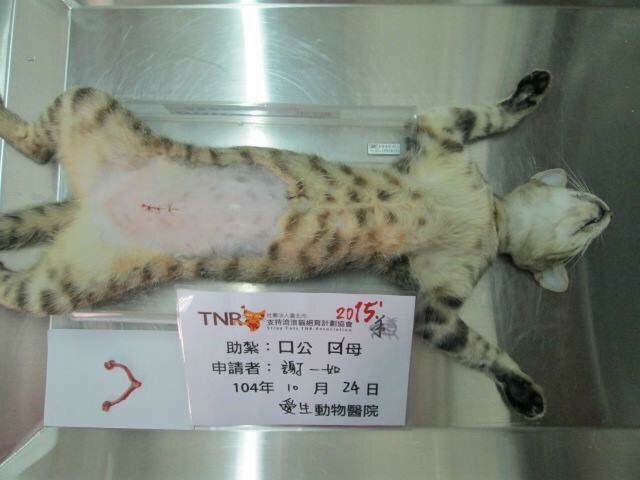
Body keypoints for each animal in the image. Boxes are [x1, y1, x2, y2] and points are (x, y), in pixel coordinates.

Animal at [0, 71, 611, 419]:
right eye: (584, 218)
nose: (608, 211)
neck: (490, 216)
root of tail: (89, 202)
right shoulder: (440, 131)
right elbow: (488, 113)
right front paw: (530, 90)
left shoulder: (436, 304)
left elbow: (478, 346)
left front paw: (523, 389)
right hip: (88, 102)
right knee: (35, 149)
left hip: (72, 276)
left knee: (18, 271)